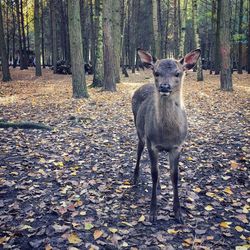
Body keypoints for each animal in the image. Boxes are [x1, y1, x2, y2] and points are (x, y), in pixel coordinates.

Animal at [132, 48, 200, 223]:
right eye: (156, 72)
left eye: (178, 73)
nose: (164, 86)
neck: (167, 134)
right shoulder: (152, 144)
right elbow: (154, 174)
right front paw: (152, 212)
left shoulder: (177, 146)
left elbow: (174, 176)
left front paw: (178, 213)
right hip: (140, 131)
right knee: (139, 151)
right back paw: (135, 178)